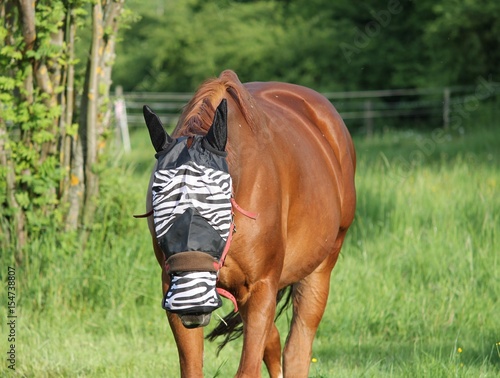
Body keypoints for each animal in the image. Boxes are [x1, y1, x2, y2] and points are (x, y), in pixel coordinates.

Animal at [142, 69, 356, 376]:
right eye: (157, 194)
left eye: (219, 195)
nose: (192, 301)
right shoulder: (172, 290)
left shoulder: (261, 288)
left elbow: (249, 369)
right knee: (275, 341)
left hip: (320, 268)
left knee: (297, 349)